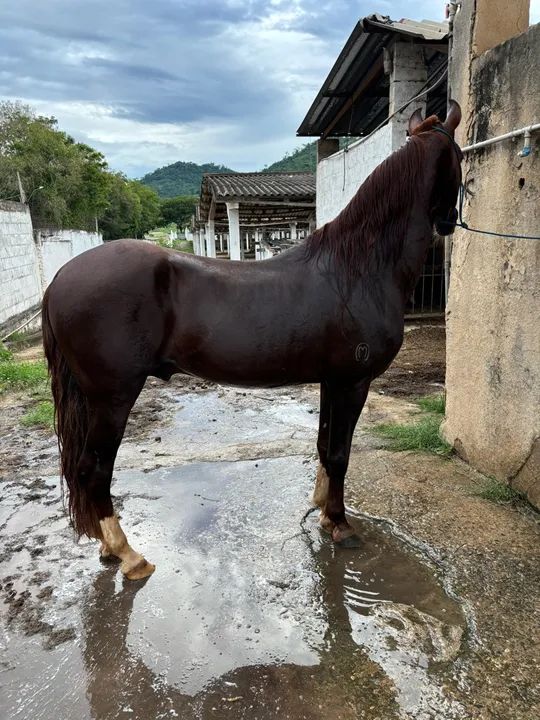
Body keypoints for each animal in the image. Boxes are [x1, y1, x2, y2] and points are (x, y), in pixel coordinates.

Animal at [42, 102, 462, 580]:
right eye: (460, 155)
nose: (448, 222)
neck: (358, 268)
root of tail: (60, 276)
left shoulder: (331, 381)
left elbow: (324, 447)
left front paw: (322, 510)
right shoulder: (353, 382)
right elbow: (340, 454)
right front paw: (340, 524)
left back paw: (108, 547)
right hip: (112, 397)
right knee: (93, 471)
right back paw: (128, 555)